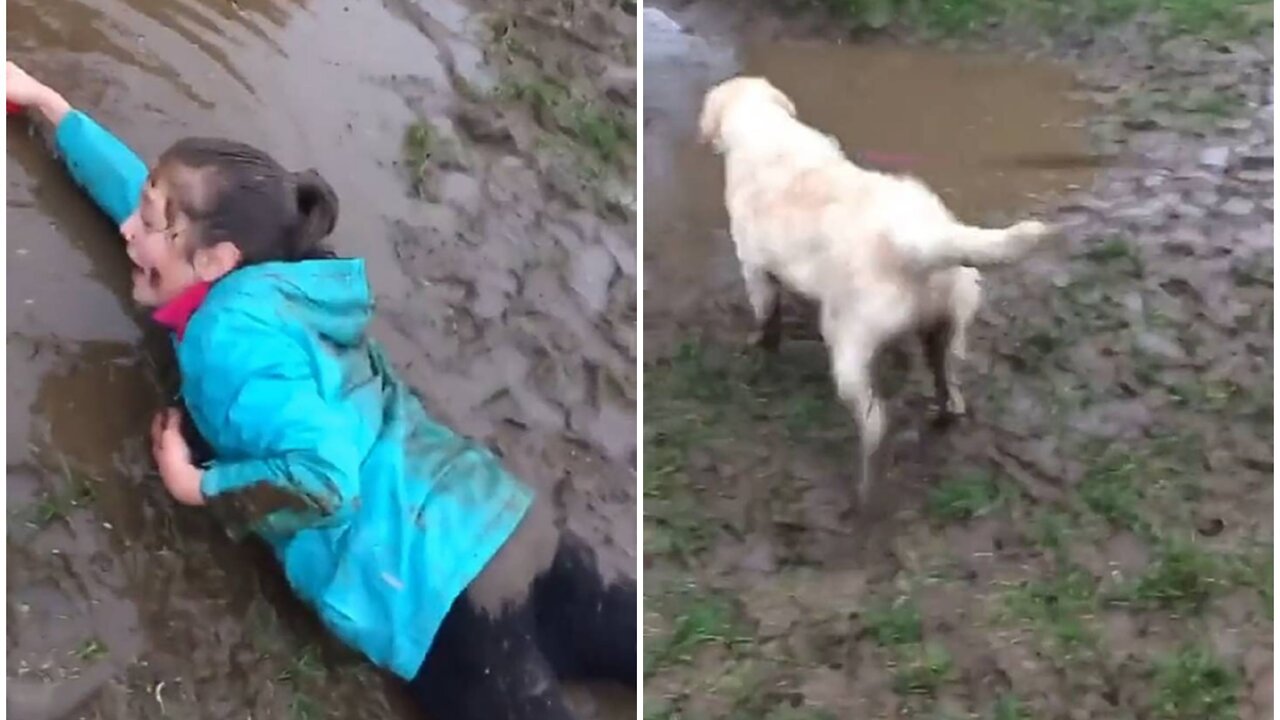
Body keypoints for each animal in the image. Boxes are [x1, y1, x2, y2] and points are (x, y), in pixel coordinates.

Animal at [701, 75, 1049, 504]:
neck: (766, 128)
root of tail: (920, 243)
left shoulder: (755, 270)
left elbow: (767, 319)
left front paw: (759, 347)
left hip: (849, 343)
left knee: (875, 422)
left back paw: (865, 487)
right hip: (947, 328)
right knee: (949, 385)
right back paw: (943, 414)